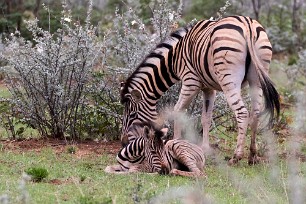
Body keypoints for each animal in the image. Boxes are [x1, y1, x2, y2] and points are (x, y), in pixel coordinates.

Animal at [120, 16, 280, 166]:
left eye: (132, 114)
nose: (123, 142)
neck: (174, 58)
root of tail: (248, 26)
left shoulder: (190, 81)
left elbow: (177, 110)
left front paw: (175, 143)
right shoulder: (208, 88)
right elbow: (206, 118)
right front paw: (205, 148)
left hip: (229, 79)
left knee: (242, 113)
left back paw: (236, 157)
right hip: (257, 78)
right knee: (256, 113)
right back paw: (252, 155)